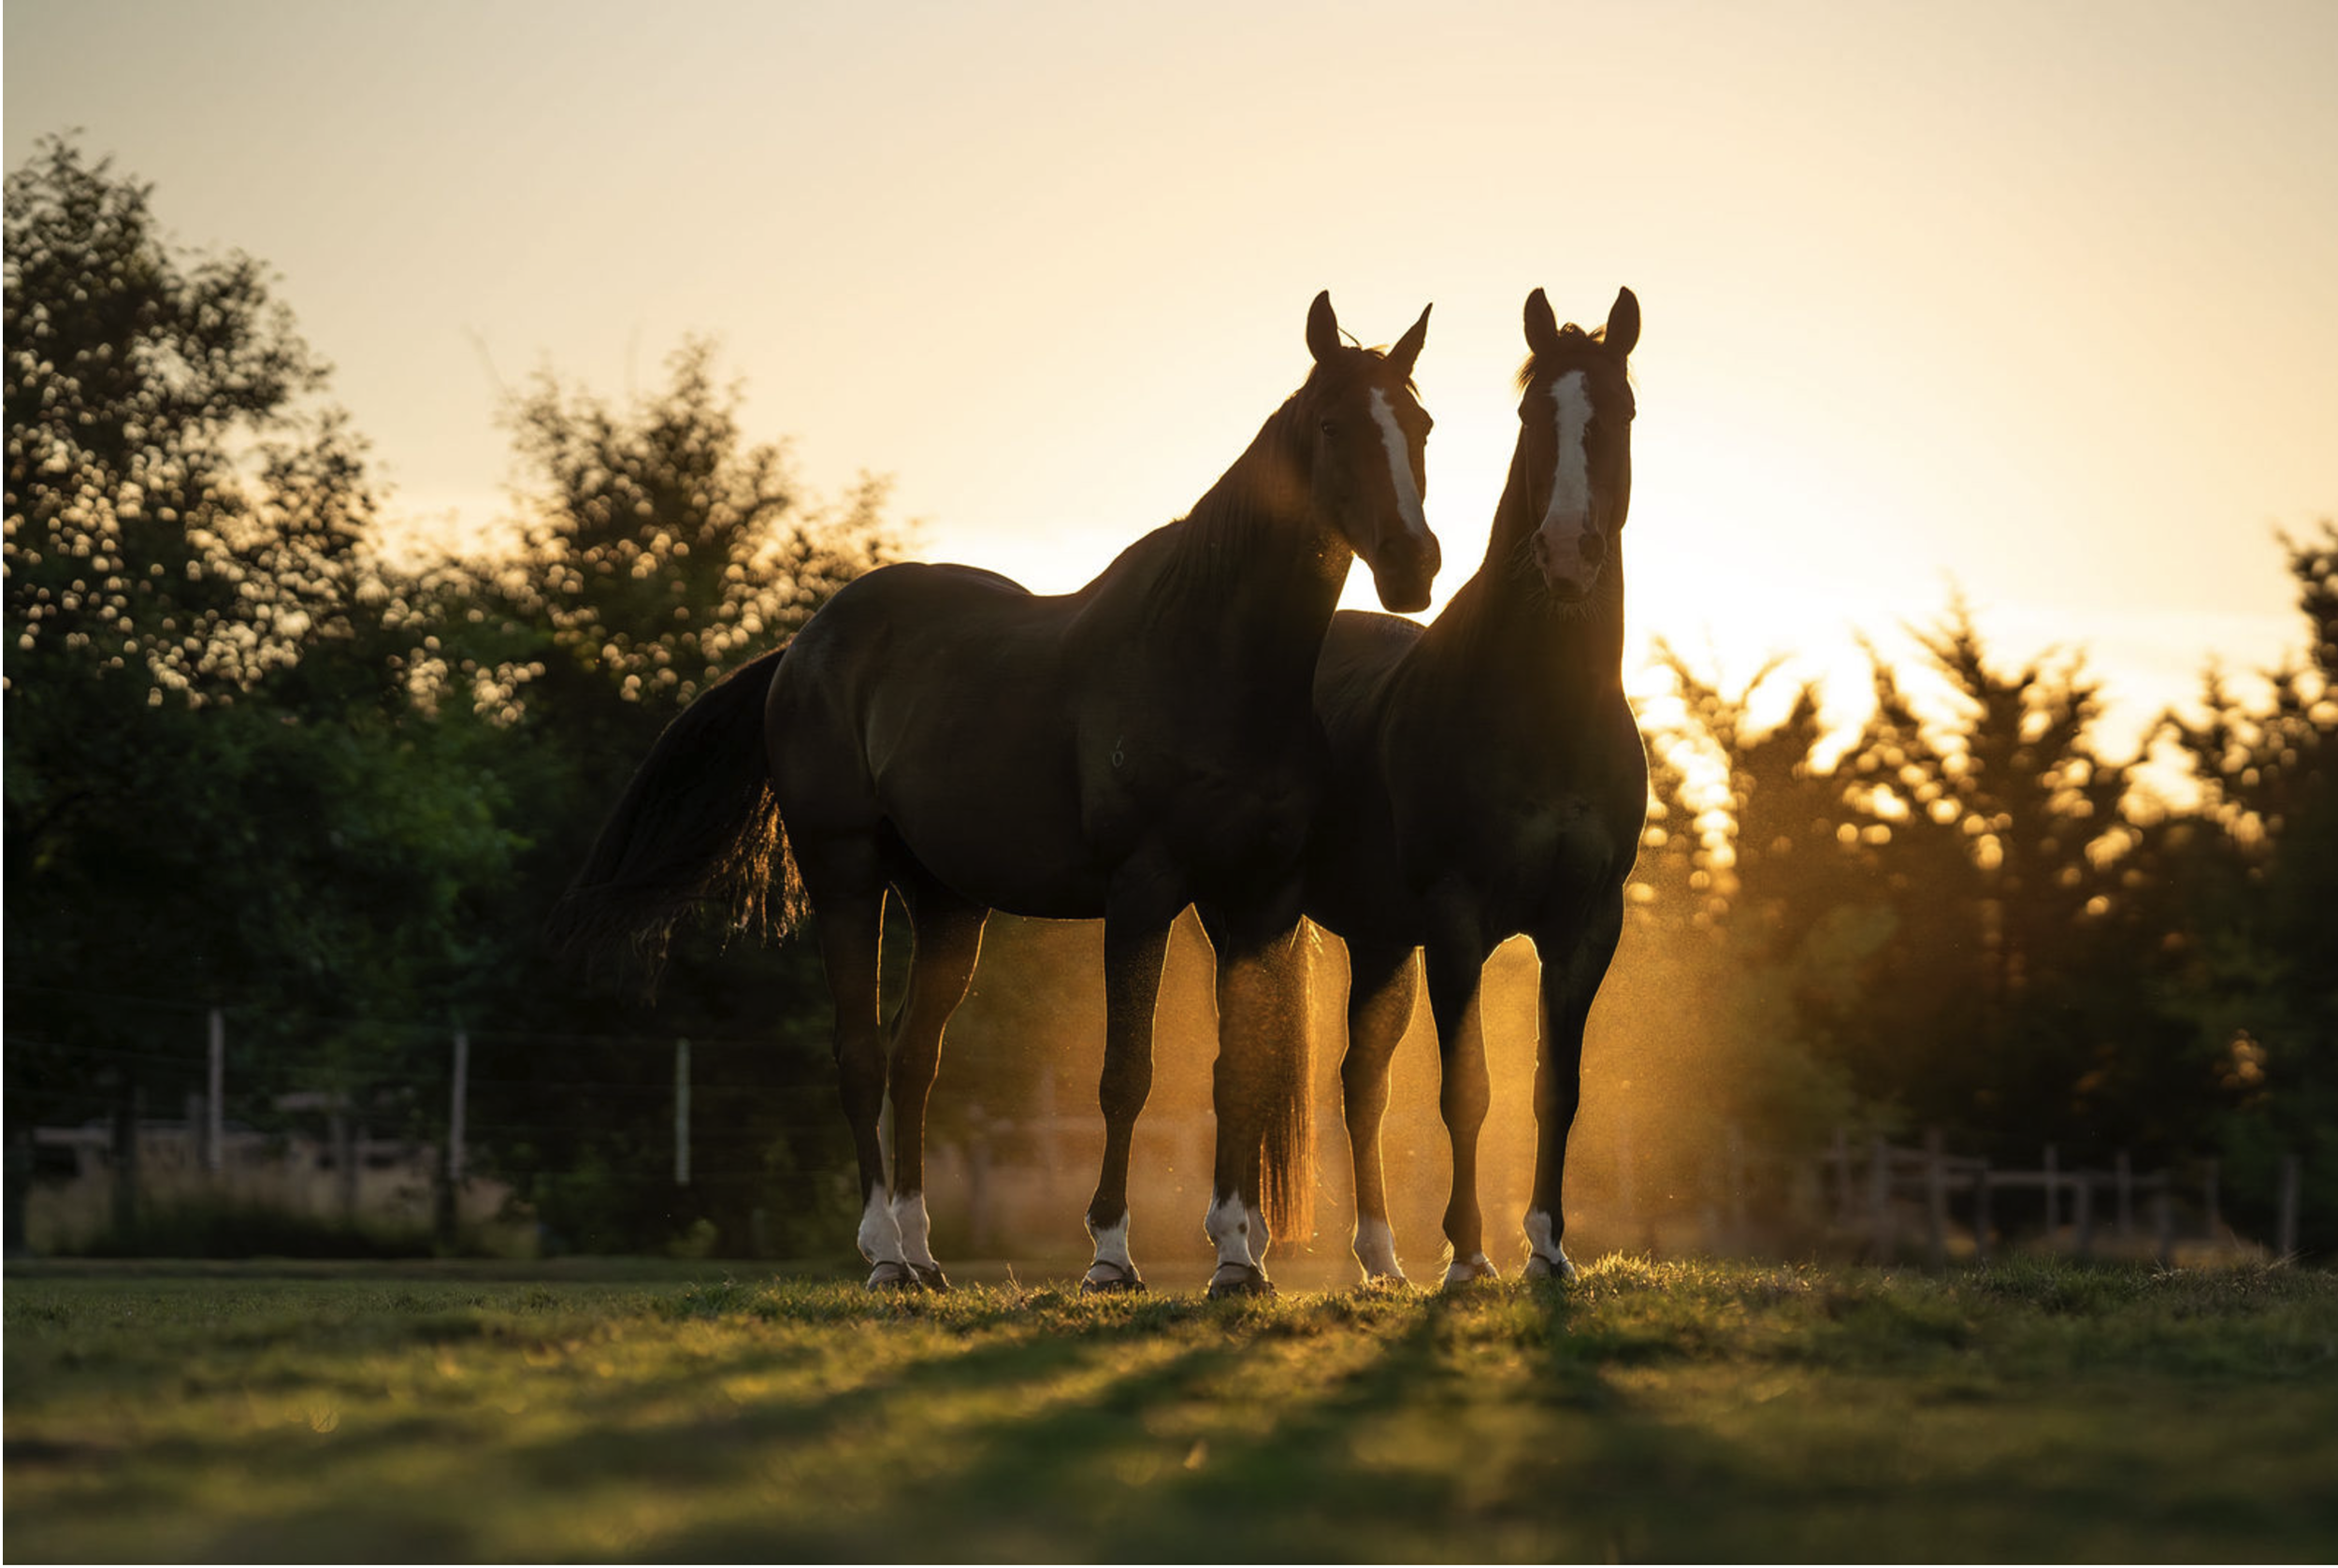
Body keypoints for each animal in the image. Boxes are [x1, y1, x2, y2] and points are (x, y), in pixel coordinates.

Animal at [551, 293, 1440, 1296]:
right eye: (1333, 425)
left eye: (1418, 425)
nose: (1414, 565)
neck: (1208, 661)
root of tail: (803, 647)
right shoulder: (1143, 891)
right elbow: (1127, 1072)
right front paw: (1111, 1255)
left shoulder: (1256, 900)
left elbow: (1237, 1070)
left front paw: (1238, 1259)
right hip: (844, 873)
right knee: (861, 1051)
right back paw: (882, 1254)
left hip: (946, 903)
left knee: (914, 1059)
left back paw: (924, 1252)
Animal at [1289, 286, 1643, 1286]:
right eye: (1530, 417)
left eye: (1621, 413)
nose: (1566, 551)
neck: (1544, 709)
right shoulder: (1456, 919)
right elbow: (1468, 1088)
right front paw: (1469, 1256)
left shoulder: (1587, 924)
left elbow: (1555, 1088)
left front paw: (1549, 1249)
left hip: (1378, 941)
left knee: (1359, 1081)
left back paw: (1379, 1256)